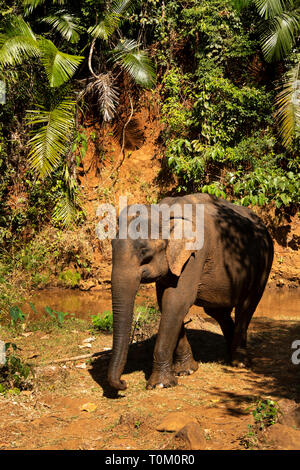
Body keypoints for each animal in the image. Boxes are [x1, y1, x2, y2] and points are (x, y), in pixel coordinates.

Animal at [108, 193, 274, 392]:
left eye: (144, 253)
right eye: (111, 245)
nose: (123, 383)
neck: (165, 212)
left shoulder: (196, 254)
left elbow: (177, 301)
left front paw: (160, 385)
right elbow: (165, 302)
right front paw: (186, 371)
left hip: (264, 263)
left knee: (246, 306)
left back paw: (239, 362)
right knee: (218, 312)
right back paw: (230, 353)